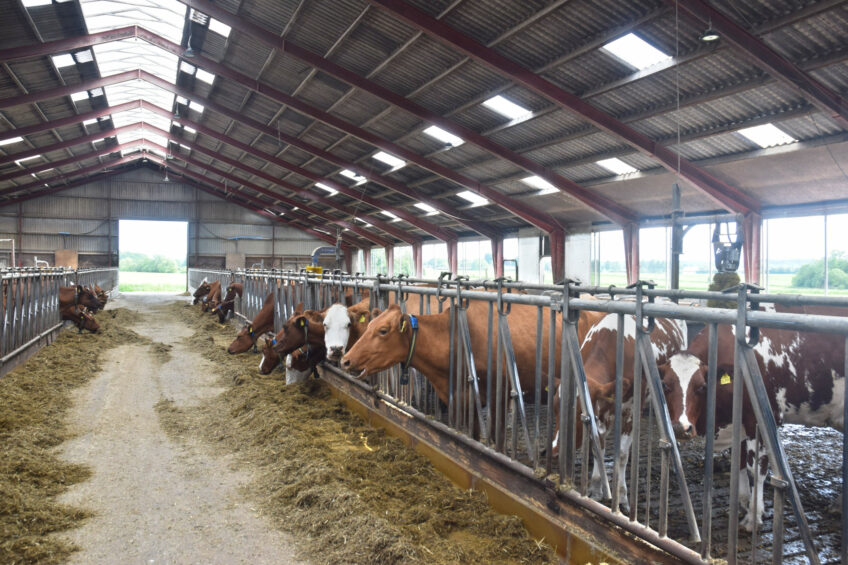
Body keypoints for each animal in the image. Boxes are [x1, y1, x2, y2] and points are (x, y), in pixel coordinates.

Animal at [664, 304, 848, 528]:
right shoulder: (740, 420)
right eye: (666, 386)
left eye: (701, 387)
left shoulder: (761, 420)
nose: (680, 428)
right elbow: (739, 461)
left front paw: (753, 516)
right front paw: (741, 505)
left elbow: (756, 469)